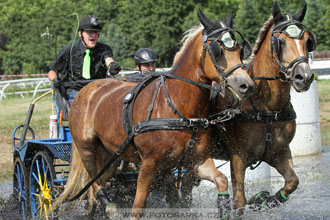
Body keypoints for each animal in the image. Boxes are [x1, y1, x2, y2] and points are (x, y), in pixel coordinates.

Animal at [54, 8, 254, 218]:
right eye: (218, 50)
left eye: (240, 50)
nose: (246, 85)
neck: (177, 109)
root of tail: (85, 90)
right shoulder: (149, 165)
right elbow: (138, 206)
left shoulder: (195, 160)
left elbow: (221, 180)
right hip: (86, 148)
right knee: (93, 182)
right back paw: (110, 208)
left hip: (111, 155)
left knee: (99, 181)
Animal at [195, 0, 316, 217]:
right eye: (280, 42)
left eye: (308, 41)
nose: (303, 77)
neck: (265, 106)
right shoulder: (239, 157)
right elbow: (239, 201)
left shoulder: (279, 152)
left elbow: (292, 182)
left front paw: (264, 200)